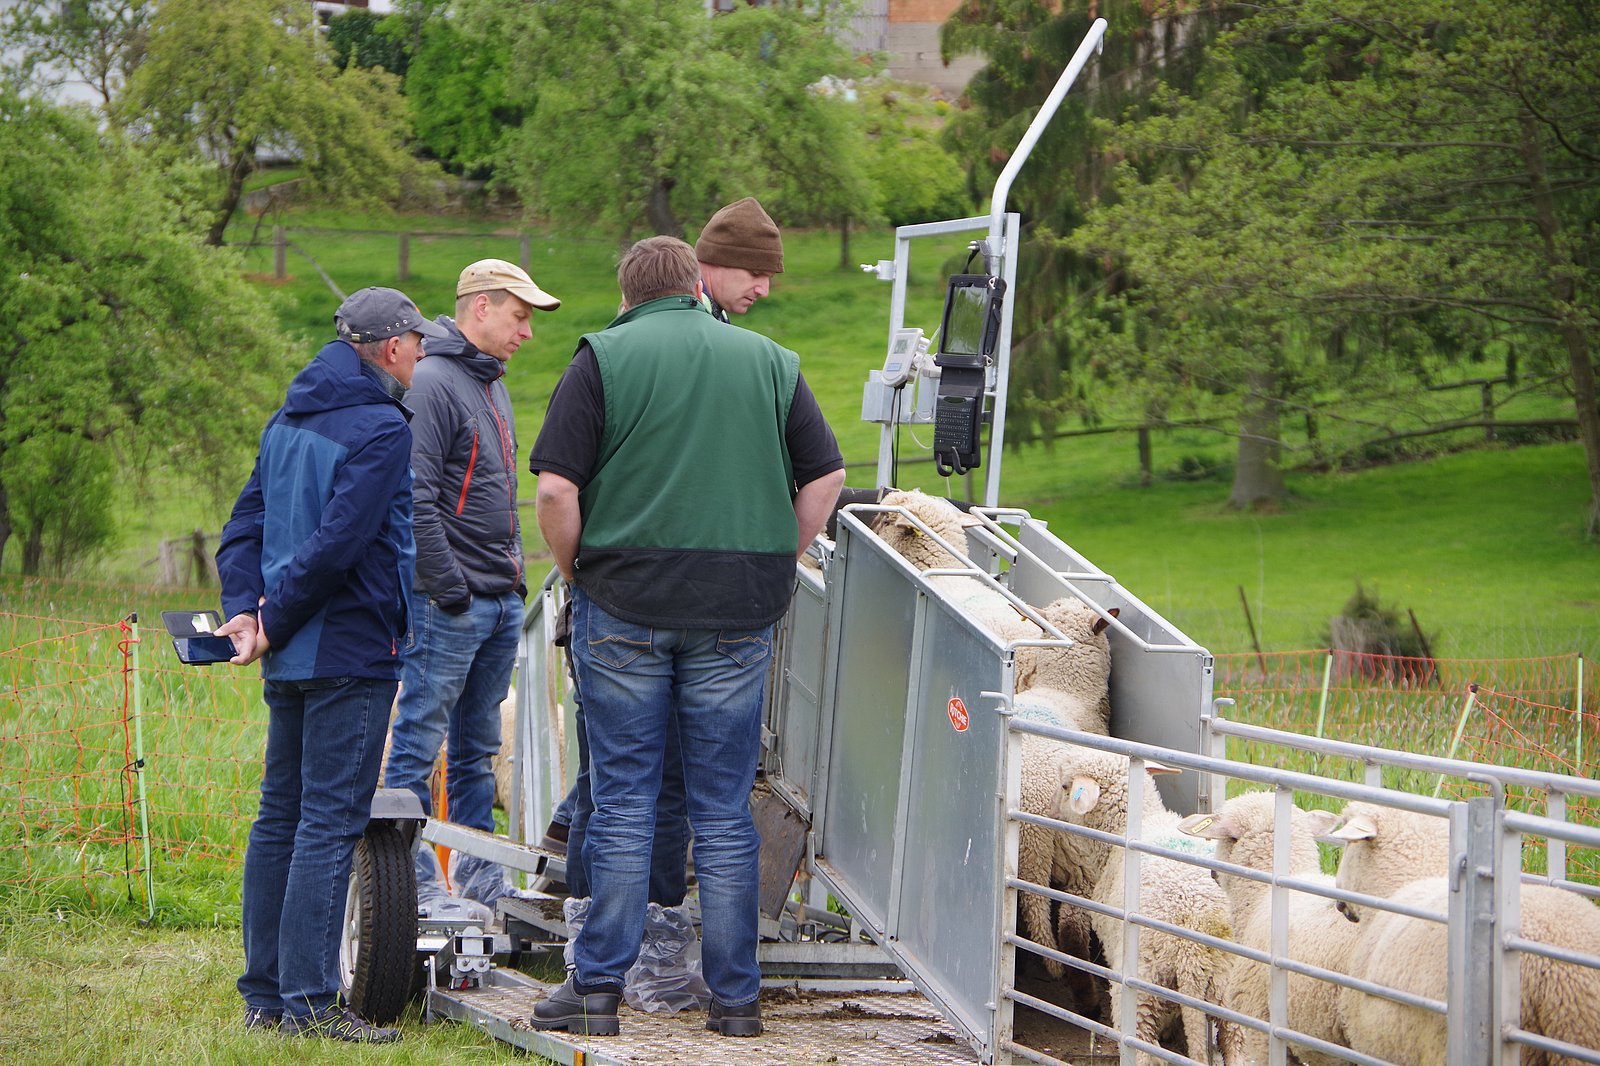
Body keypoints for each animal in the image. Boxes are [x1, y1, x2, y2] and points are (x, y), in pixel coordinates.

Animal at [1056, 739, 1241, 1062]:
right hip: (1227, 995)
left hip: (1142, 988)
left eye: (1067, 785)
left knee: (1142, 1048)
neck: (1134, 823)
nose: (1054, 810)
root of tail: (1192, 952)